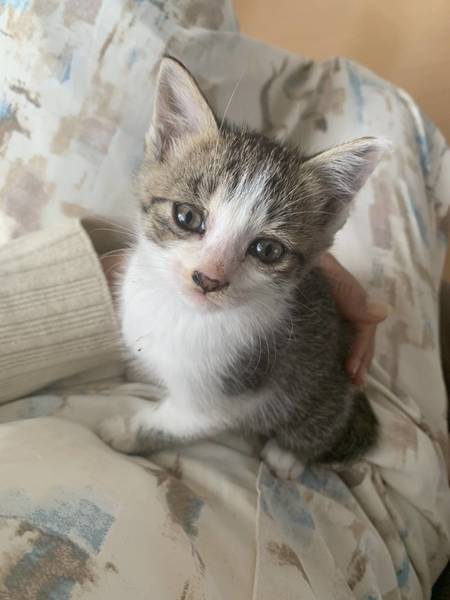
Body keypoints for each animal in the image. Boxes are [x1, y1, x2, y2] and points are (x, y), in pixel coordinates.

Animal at [98, 56, 384, 479]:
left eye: (267, 249)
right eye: (187, 216)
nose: (208, 278)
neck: (180, 314)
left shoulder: (224, 399)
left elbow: (165, 423)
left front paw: (124, 432)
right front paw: (139, 369)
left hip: (324, 382)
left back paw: (288, 455)